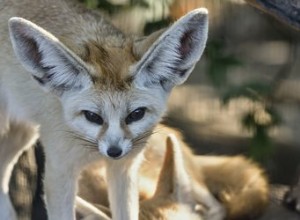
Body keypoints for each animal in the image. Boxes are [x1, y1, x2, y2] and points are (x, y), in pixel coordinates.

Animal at [0, 0, 209, 220]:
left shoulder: (125, 168)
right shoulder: (59, 172)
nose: (114, 151)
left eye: (136, 114)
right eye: (92, 116)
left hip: (23, 134)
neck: (91, 150)